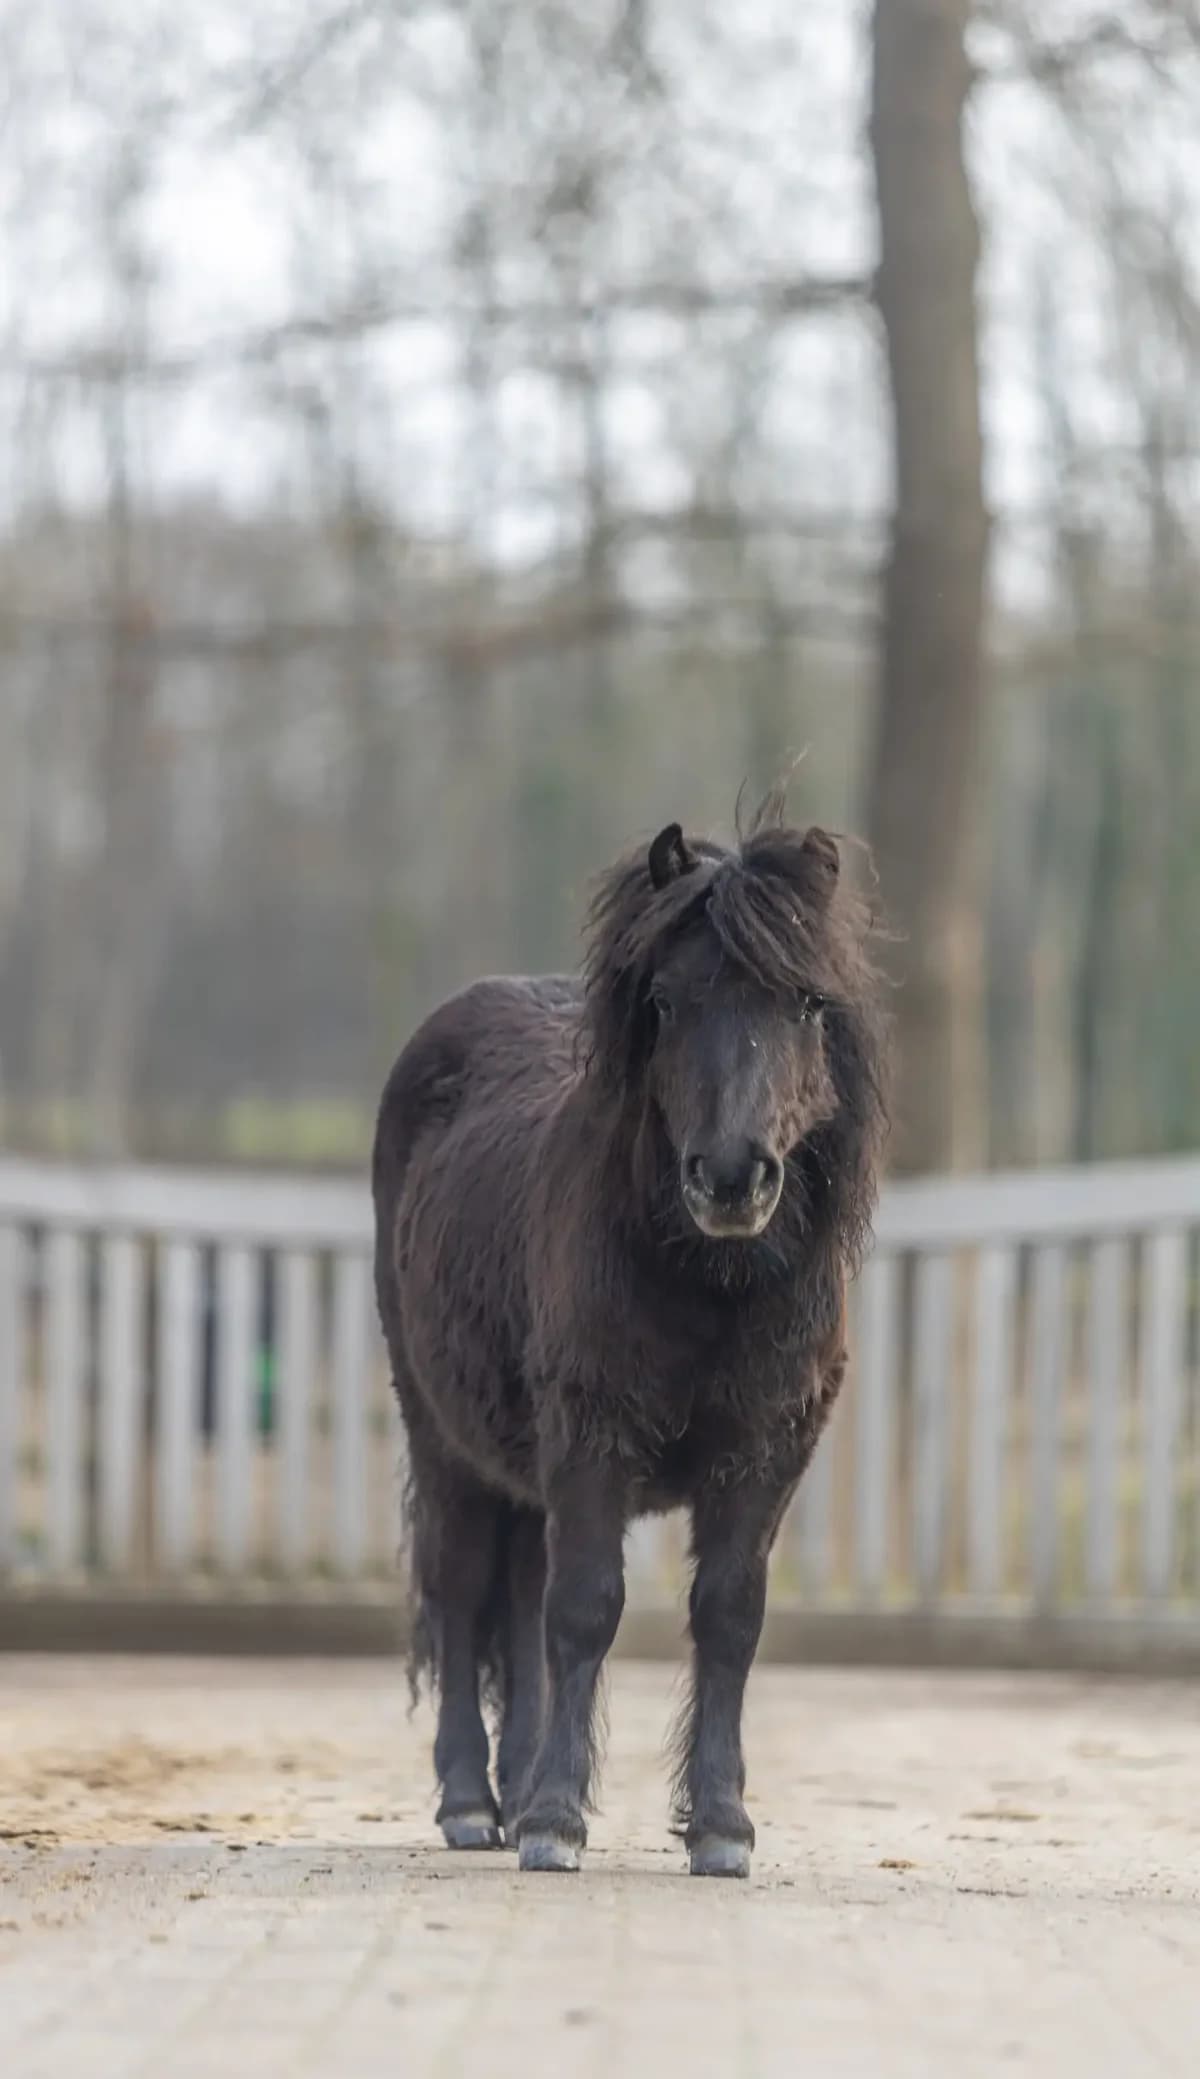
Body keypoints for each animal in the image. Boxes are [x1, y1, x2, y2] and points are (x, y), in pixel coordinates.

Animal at [372, 798, 888, 1878]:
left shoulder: (768, 1451)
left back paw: (520, 1781)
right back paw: (475, 1804)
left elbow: (727, 1616)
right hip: (444, 1440)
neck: (709, 1288)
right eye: (669, 1000)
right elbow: (584, 1609)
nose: (731, 1177)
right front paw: (555, 1822)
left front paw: (722, 1825)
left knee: (518, 1600)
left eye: (805, 1005)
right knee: (462, 1591)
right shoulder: (592, 1435)